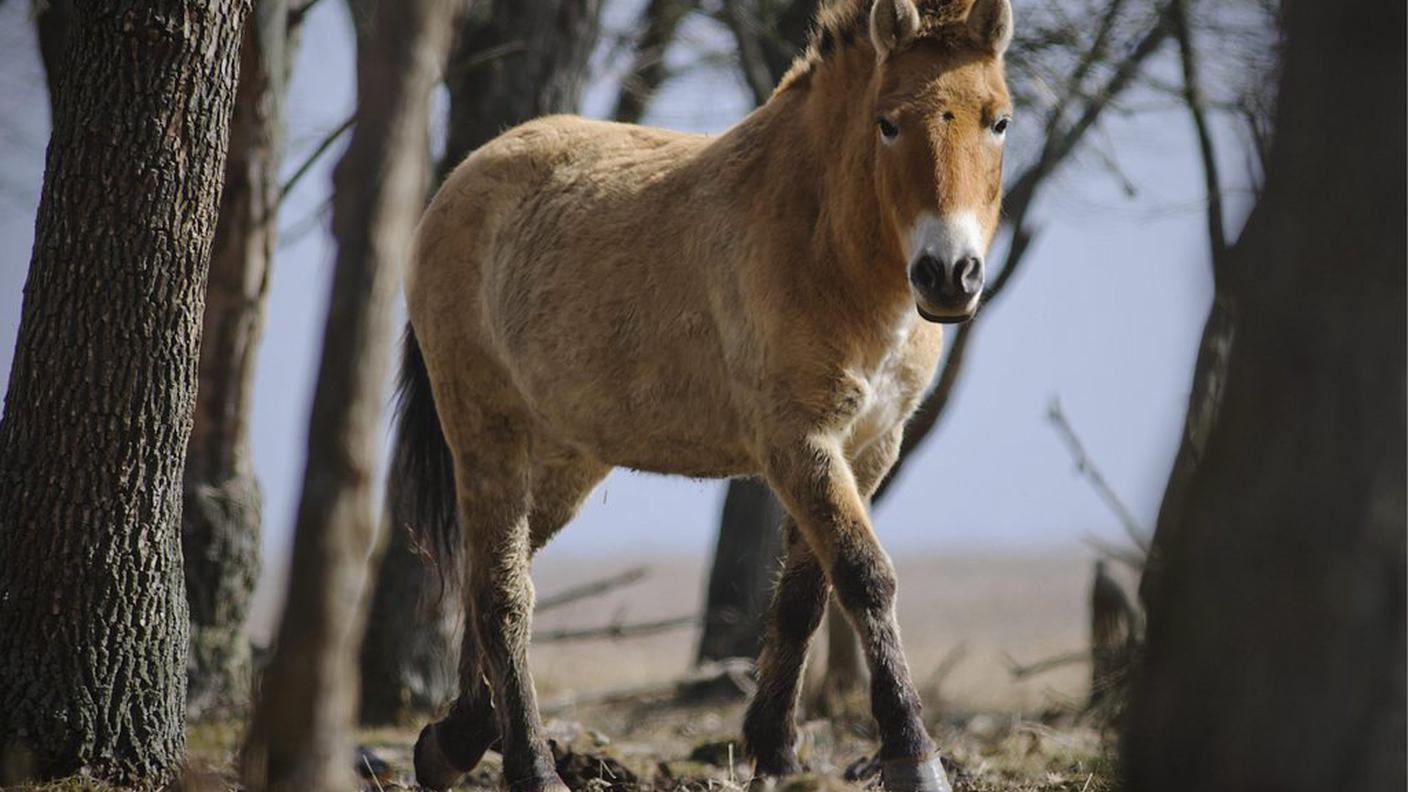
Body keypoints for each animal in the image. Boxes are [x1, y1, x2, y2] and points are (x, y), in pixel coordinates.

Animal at [397, 1, 1013, 783]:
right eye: (888, 122)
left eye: (999, 121)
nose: (950, 274)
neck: (821, 240)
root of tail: (457, 185)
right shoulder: (799, 441)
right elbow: (864, 576)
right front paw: (913, 754)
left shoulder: (870, 446)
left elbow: (804, 595)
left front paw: (776, 752)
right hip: (486, 430)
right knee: (503, 594)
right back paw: (531, 767)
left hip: (566, 457)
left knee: (496, 571)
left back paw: (454, 739)